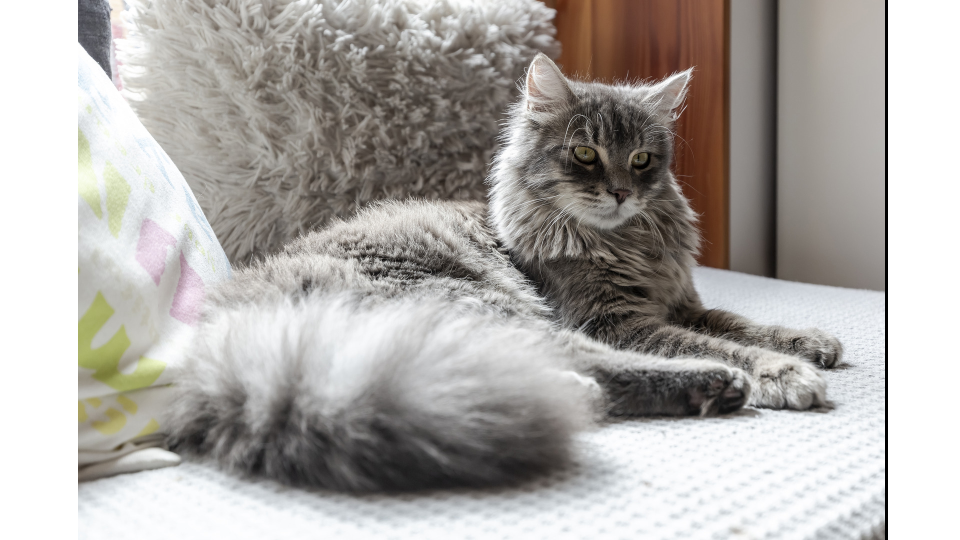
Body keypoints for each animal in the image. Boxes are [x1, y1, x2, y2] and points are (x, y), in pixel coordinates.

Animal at [165, 53, 840, 494]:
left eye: (644, 159)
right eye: (585, 154)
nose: (621, 192)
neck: (625, 240)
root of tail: (229, 327)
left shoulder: (681, 301)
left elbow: (741, 322)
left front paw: (811, 343)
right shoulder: (618, 321)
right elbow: (721, 343)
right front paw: (786, 373)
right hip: (488, 302)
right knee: (574, 363)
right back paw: (708, 385)